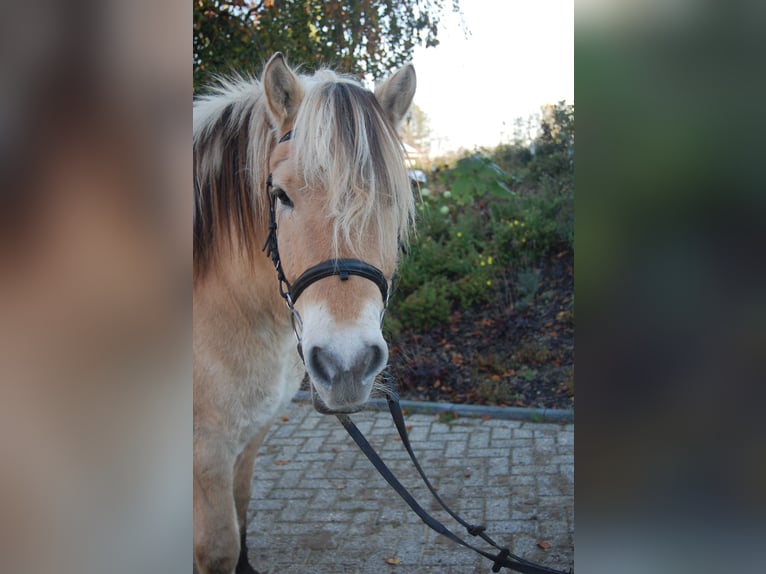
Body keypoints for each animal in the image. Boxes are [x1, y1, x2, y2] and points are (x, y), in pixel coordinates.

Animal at [195, 54, 416, 574]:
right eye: (280, 194)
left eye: (391, 198)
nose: (347, 365)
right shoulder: (206, 456)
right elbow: (219, 547)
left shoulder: (250, 437)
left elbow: (242, 511)